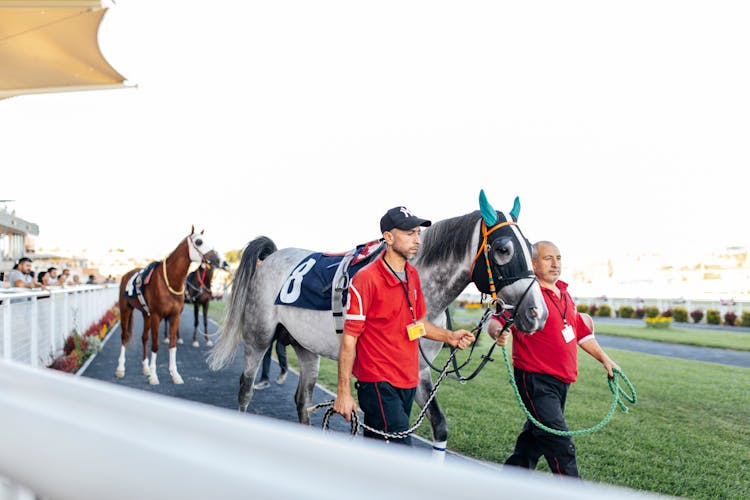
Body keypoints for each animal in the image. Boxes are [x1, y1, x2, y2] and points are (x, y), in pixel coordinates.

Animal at [114, 229, 226, 384]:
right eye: (199, 242)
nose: (218, 260)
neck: (170, 281)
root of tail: (126, 275)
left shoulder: (175, 315)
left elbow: (173, 345)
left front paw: (175, 374)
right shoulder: (156, 316)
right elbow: (155, 345)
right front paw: (154, 376)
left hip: (145, 314)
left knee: (144, 338)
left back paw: (145, 368)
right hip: (126, 309)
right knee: (124, 336)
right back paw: (120, 369)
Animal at [209, 192, 548, 460]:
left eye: (531, 248)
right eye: (503, 249)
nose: (537, 314)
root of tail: (273, 256)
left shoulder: (419, 372)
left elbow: (439, 427)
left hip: (306, 348)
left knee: (302, 400)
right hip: (257, 339)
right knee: (245, 391)